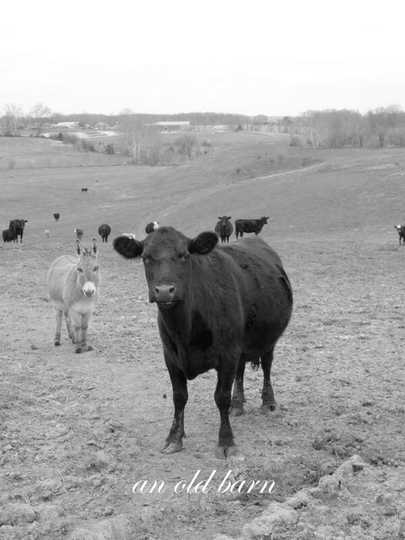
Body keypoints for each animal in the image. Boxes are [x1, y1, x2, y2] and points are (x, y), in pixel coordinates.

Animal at [112, 226, 292, 458]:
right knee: (241, 370)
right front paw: (174, 438)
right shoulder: (171, 357)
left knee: (267, 366)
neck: (185, 330)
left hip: (268, 339)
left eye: (184, 255)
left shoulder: (227, 355)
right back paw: (238, 404)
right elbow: (179, 397)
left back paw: (268, 402)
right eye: (146, 257)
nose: (164, 291)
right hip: (240, 345)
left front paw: (226, 441)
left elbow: (221, 397)